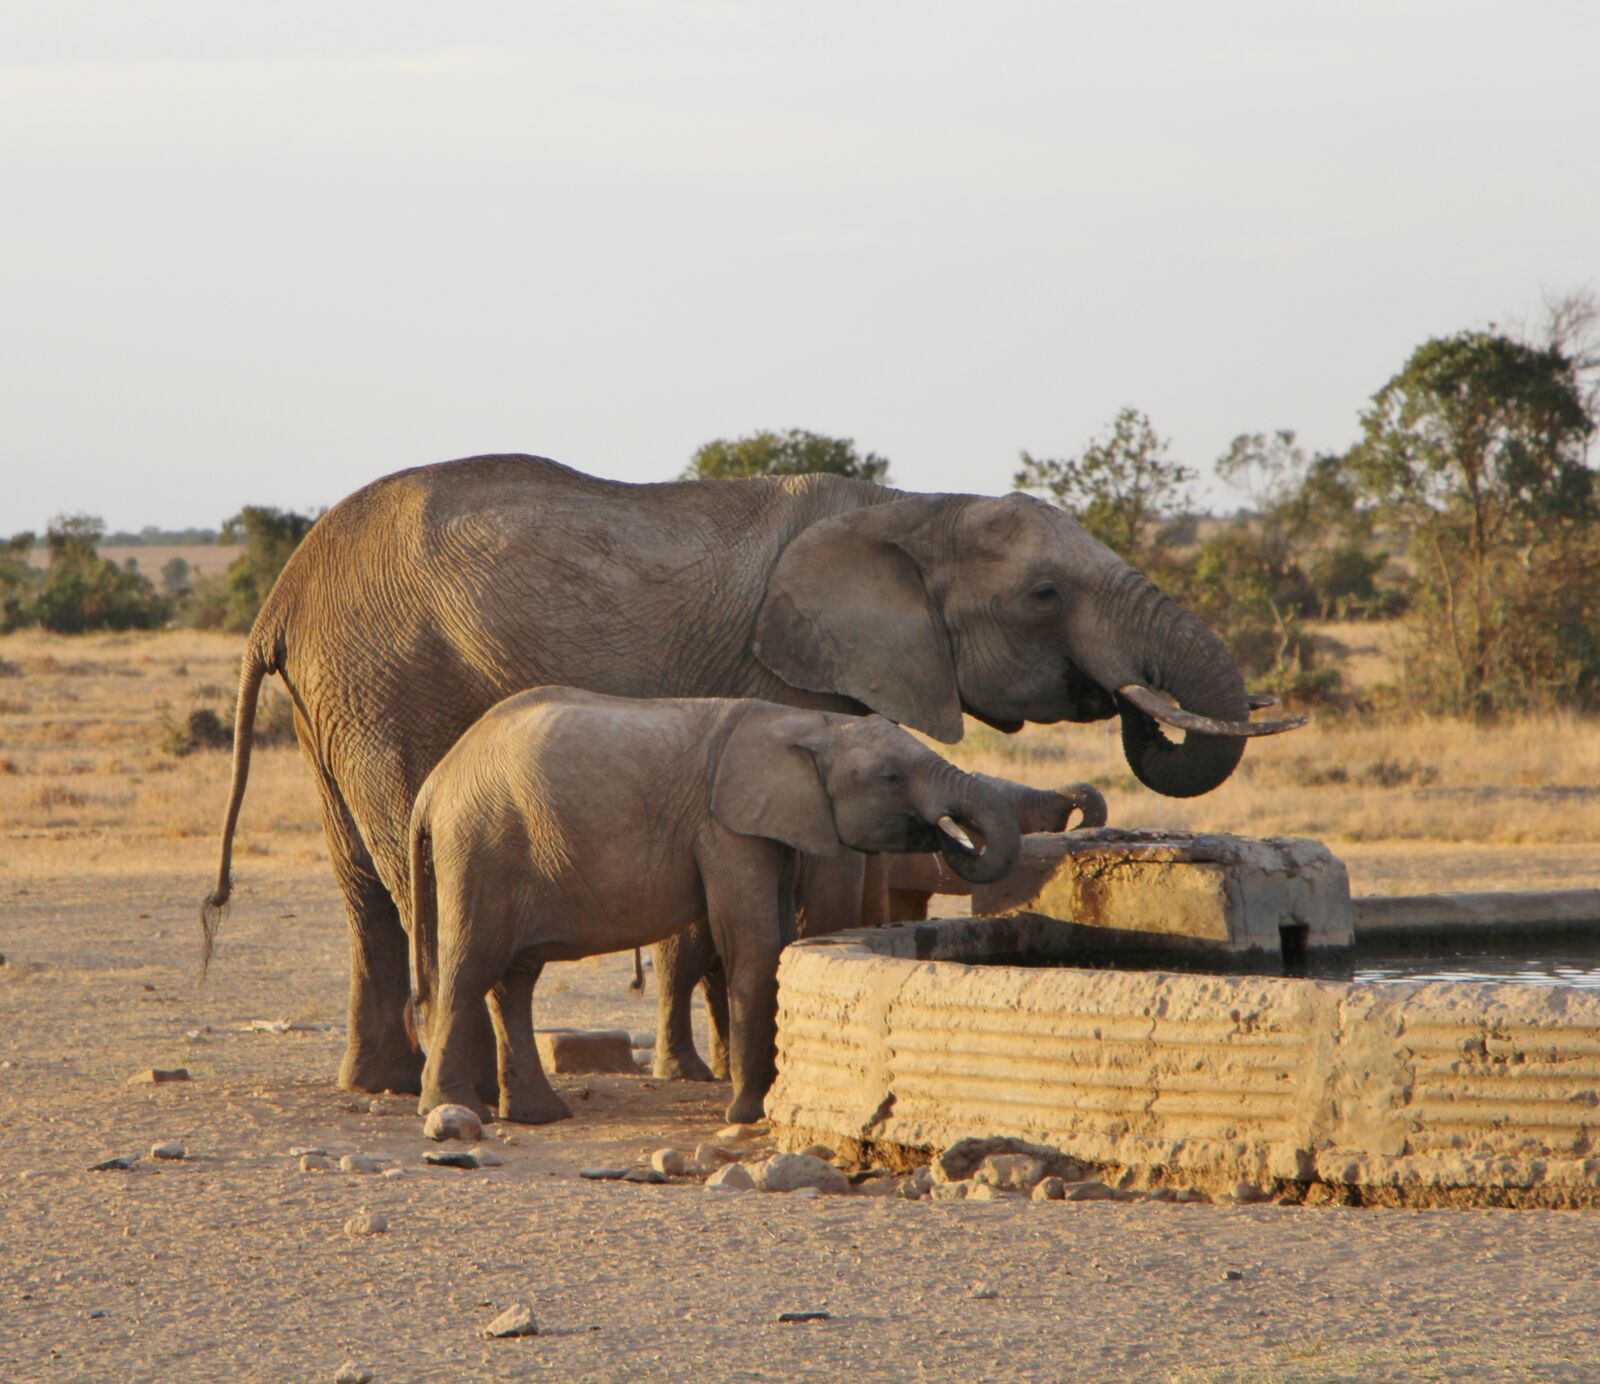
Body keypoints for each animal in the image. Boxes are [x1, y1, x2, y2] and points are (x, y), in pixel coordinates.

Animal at [406, 688, 1021, 1125]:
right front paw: (749, 1115)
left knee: (514, 979)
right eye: (891, 778)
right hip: (481, 844)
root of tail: (434, 783)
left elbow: (775, 936)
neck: (806, 723)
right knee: (471, 967)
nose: (948, 836)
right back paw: (454, 1112)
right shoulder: (725, 827)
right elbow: (753, 943)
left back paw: (539, 1116)